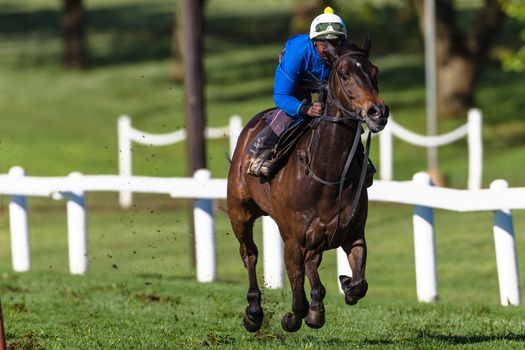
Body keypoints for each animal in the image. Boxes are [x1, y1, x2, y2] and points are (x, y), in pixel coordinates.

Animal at [226, 39, 388, 334]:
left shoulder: (353, 233)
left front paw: (344, 285)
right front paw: (291, 318)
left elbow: (360, 283)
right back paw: (254, 312)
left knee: (312, 262)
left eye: (374, 70)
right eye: (344, 74)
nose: (378, 112)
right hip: (239, 211)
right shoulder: (292, 240)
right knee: (249, 253)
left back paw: (317, 305)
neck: (327, 173)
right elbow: (296, 291)